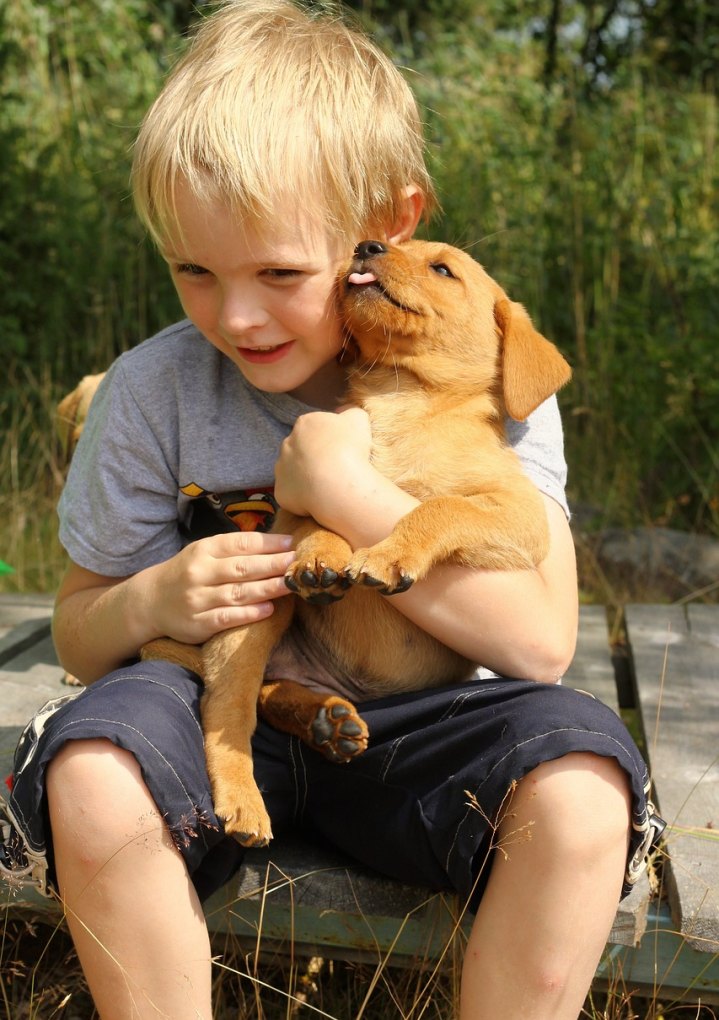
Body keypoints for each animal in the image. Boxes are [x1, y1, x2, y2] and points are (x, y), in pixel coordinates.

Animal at [140, 236, 571, 844]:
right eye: (391, 244)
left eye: (444, 269)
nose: (367, 245)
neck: (402, 400)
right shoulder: (291, 508)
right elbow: (320, 521)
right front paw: (322, 556)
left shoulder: (520, 515)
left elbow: (439, 506)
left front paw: (388, 553)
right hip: (253, 624)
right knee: (228, 711)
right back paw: (249, 795)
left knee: (267, 697)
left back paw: (327, 721)